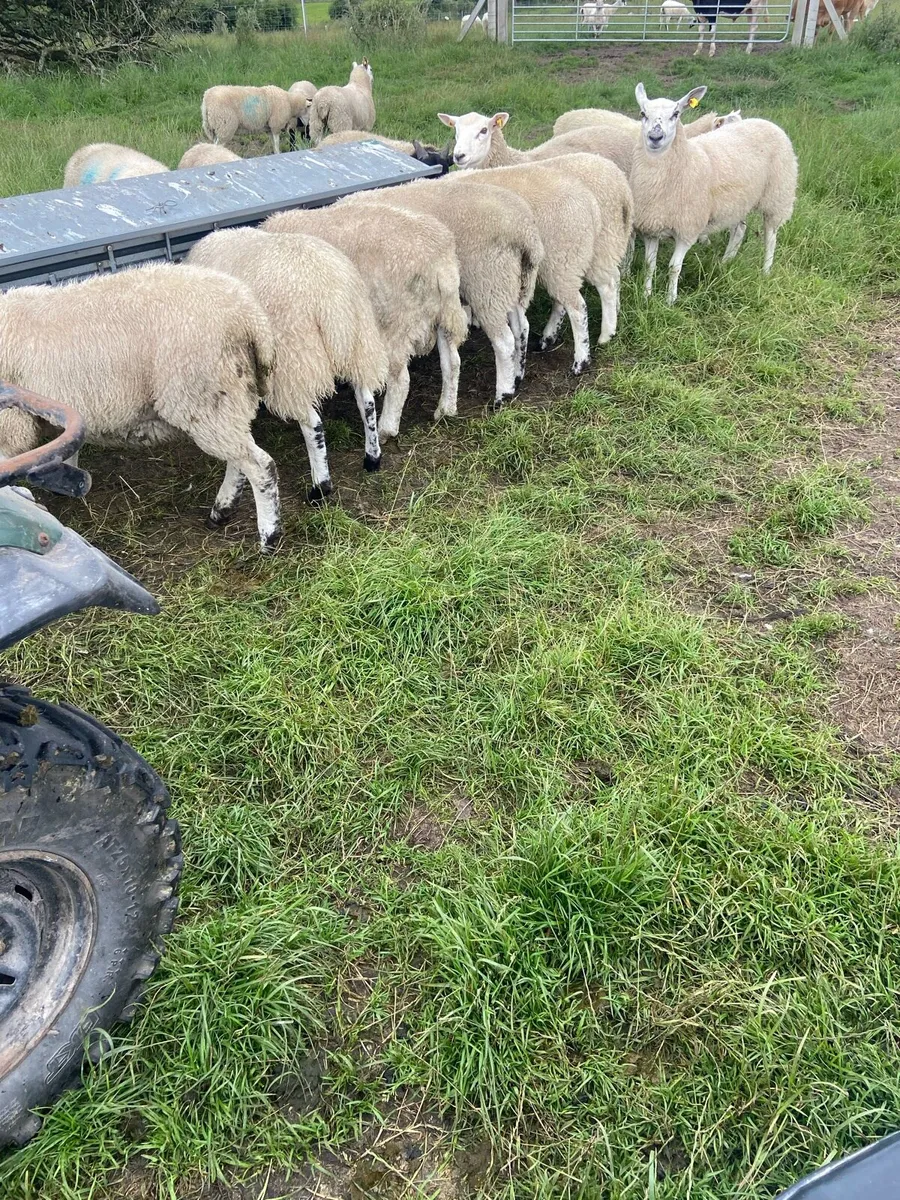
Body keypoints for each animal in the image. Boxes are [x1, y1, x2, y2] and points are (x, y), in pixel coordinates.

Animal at [0, 264, 281, 550]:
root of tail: (249, 315)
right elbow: (68, 449)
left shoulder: (10, 423)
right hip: (229, 397)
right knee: (239, 459)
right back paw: (222, 510)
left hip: (203, 397)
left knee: (260, 466)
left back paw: (268, 536)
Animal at [187, 228, 388, 496]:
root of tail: (331, 300)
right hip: (360, 344)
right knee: (366, 403)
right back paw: (372, 458)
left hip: (293, 361)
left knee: (313, 425)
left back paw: (320, 488)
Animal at [262, 203, 468, 440]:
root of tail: (439, 260)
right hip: (443, 311)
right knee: (452, 361)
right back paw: (446, 409)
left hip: (396, 319)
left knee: (401, 379)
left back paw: (387, 428)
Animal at [343, 178, 544, 408]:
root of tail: (525, 229)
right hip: (508, 280)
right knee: (521, 327)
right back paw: (516, 377)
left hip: (487, 281)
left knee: (504, 341)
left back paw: (501, 395)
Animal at [631, 83, 797, 303]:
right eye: (643, 113)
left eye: (676, 114)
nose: (655, 137)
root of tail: (766, 122)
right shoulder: (651, 226)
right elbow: (650, 264)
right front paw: (646, 296)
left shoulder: (687, 229)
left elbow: (674, 267)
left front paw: (670, 300)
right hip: (738, 202)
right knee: (739, 230)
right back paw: (726, 262)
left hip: (778, 195)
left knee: (770, 237)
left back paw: (766, 270)